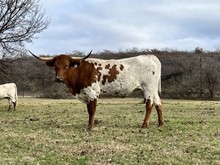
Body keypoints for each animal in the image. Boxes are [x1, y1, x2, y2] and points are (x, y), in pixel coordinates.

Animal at [29, 50, 163, 129]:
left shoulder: (92, 92)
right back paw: (160, 123)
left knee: (149, 105)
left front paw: (90, 126)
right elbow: (89, 109)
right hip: (153, 90)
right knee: (158, 104)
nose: (58, 78)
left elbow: (91, 110)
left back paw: (144, 124)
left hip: (148, 88)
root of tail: (150, 56)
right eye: (55, 66)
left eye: (67, 66)